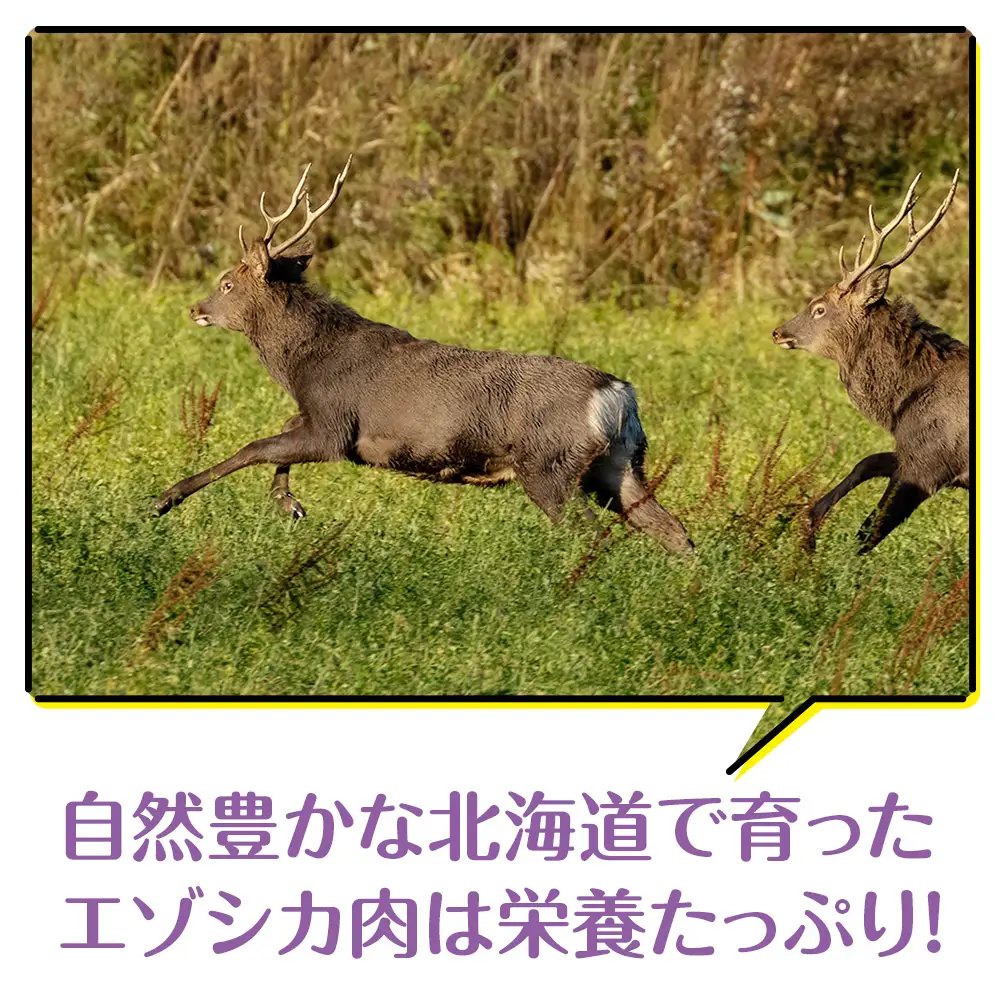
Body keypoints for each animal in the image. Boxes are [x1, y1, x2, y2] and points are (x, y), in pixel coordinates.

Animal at [152, 156, 695, 557]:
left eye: (227, 282)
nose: (196, 308)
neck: (303, 364)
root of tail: (618, 394)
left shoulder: (335, 425)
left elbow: (255, 447)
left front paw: (165, 499)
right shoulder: (320, 419)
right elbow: (277, 435)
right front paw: (288, 504)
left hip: (549, 465)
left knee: (593, 533)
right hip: (618, 463)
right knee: (674, 531)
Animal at [772, 170, 968, 553]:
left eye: (819, 308)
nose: (778, 332)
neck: (900, 405)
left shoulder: (930, 463)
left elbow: (868, 532)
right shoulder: (914, 453)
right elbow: (868, 462)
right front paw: (808, 523)